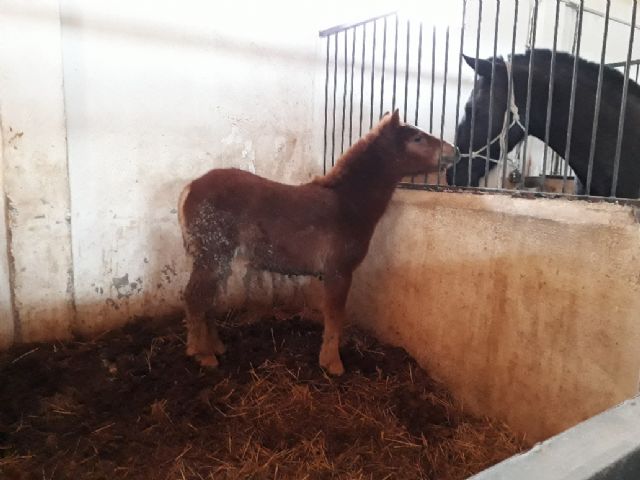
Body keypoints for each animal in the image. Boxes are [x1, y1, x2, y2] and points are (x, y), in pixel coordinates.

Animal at [178, 110, 458, 376]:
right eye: (417, 138)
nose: (455, 151)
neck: (348, 203)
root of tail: (190, 188)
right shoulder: (338, 271)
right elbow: (334, 315)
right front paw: (332, 363)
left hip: (218, 260)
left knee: (208, 299)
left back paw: (216, 347)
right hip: (212, 255)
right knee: (195, 297)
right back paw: (202, 354)